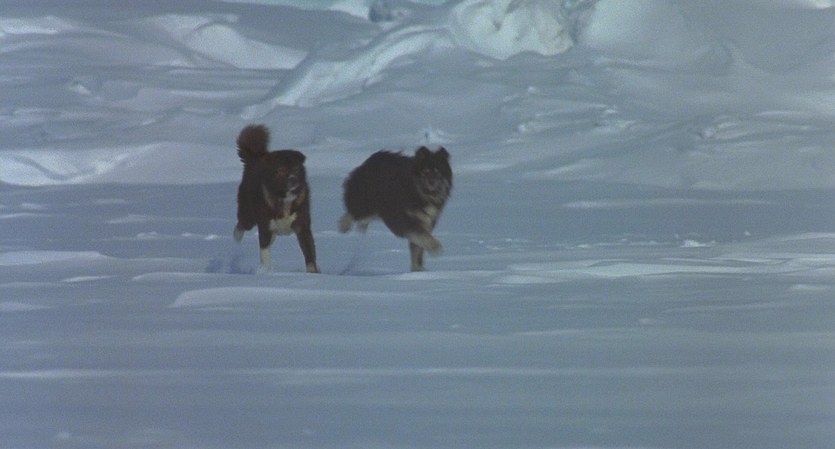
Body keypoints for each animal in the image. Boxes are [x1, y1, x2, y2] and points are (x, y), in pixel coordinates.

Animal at [233, 124, 318, 273]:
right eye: (282, 170)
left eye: (296, 168)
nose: (293, 180)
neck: (285, 199)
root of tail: (254, 158)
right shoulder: (265, 228)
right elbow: (264, 254)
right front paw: (265, 273)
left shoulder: (303, 227)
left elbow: (309, 254)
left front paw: (314, 274)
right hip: (249, 214)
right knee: (240, 226)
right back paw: (236, 242)